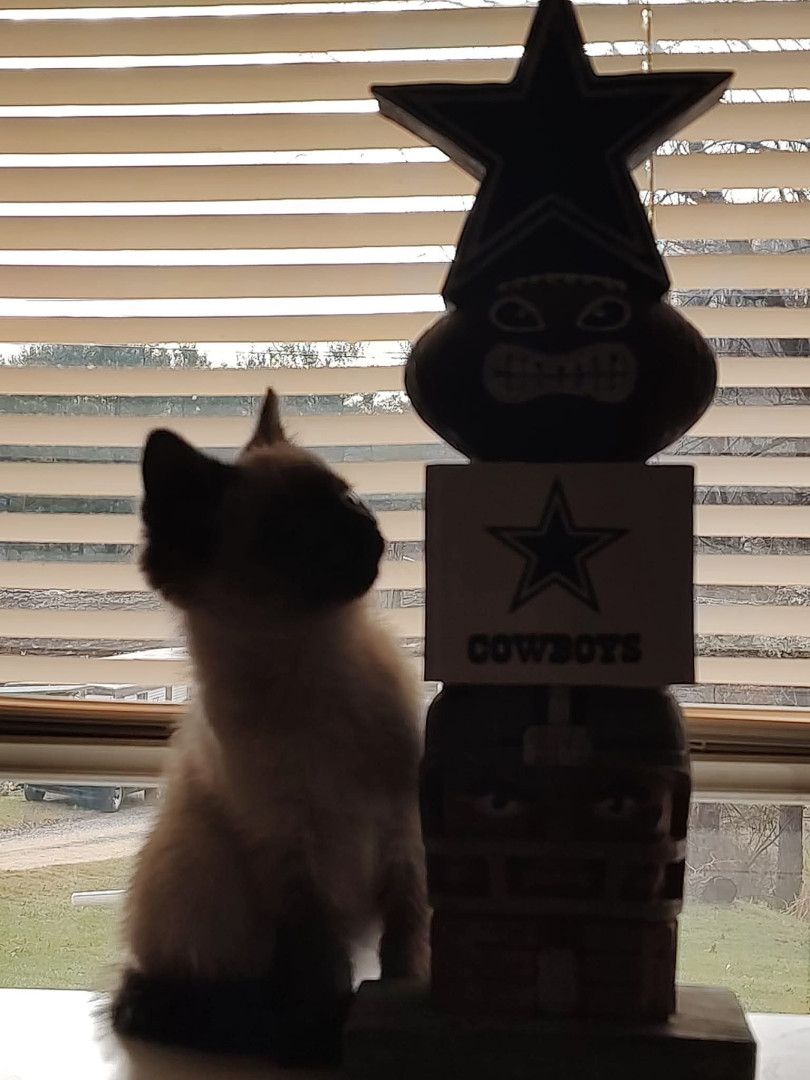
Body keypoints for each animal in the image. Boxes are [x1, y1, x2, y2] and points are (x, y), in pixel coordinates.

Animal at [111, 389, 429, 1064]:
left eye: (348, 499)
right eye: (293, 532)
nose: (369, 532)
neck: (312, 664)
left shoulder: (402, 837)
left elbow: (404, 959)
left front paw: (397, 1010)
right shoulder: (294, 858)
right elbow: (322, 970)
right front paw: (329, 1032)